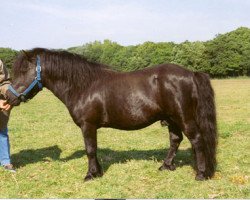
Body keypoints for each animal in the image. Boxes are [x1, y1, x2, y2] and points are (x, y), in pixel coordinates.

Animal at [6, 48, 216, 181]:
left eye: (24, 70)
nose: (7, 96)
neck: (83, 85)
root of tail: (191, 73)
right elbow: (94, 149)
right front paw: (97, 172)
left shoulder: (88, 125)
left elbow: (90, 149)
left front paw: (90, 175)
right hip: (172, 119)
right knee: (175, 140)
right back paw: (166, 166)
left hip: (184, 118)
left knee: (197, 140)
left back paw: (201, 174)